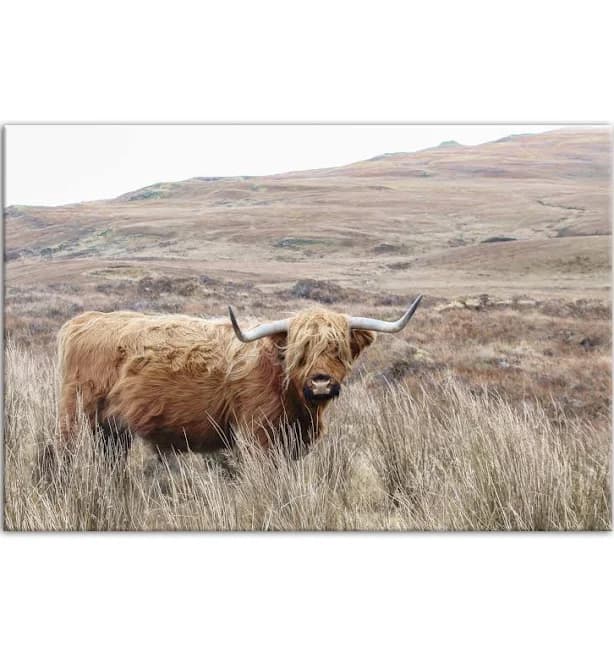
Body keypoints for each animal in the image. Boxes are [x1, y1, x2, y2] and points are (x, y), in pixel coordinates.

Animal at [56, 296, 422, 457]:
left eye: (337, 349)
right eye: (300, 351)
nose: (320, 382)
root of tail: (81, 321)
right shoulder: (257, 435)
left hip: (113, 430)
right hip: (76, 417)